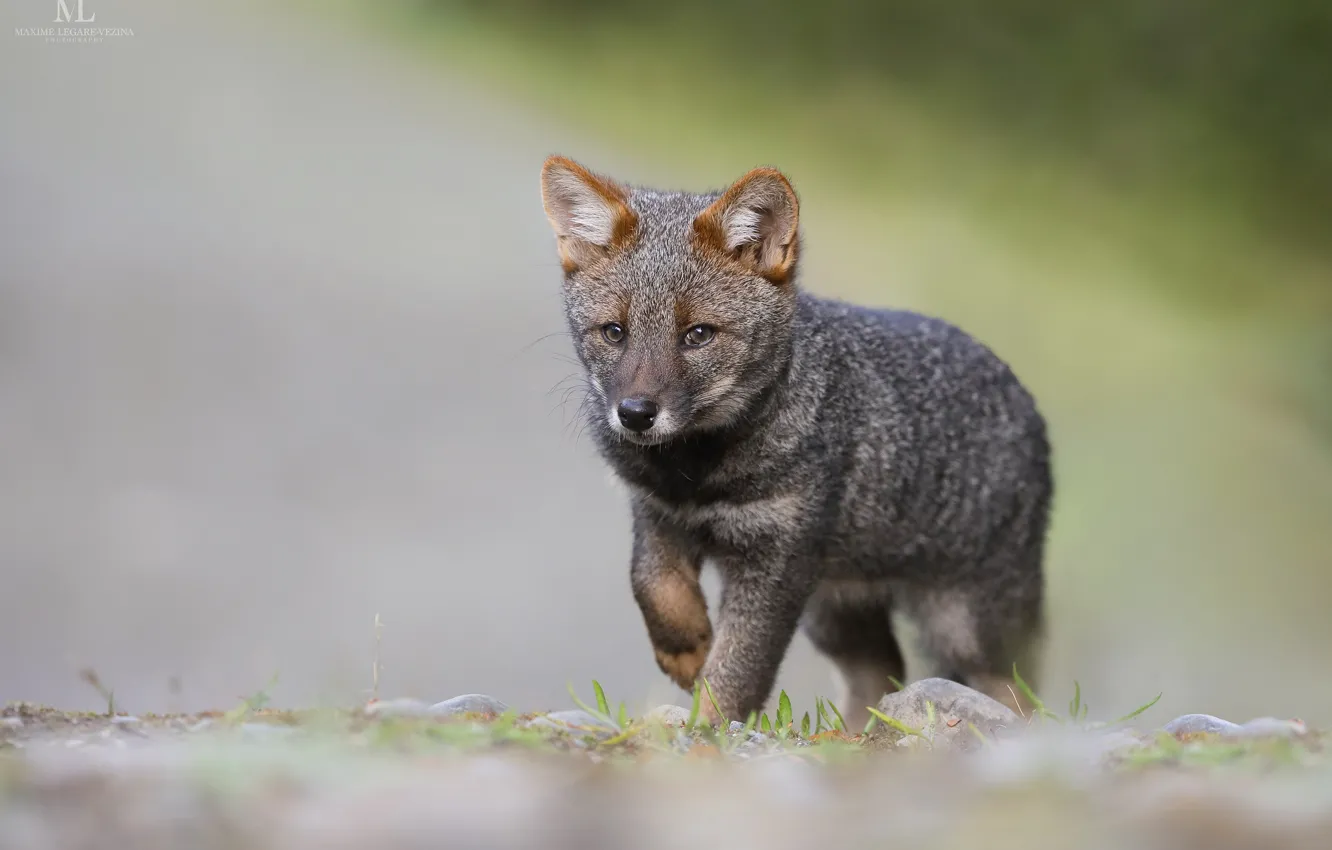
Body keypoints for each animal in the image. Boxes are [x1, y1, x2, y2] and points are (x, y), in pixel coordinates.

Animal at [539, 155, 1052, 728]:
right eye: (614, 332)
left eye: (698, 335)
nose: (634, 415)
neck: (698, 476)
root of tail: (1024, 396)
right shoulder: (657, 514)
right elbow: (652, 585)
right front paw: (686, 649)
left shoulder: (776, 559)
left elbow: (738, 667)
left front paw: (708, 728)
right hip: (836, 613)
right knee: (881, 671)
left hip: (965, 627)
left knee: (1012, 687)